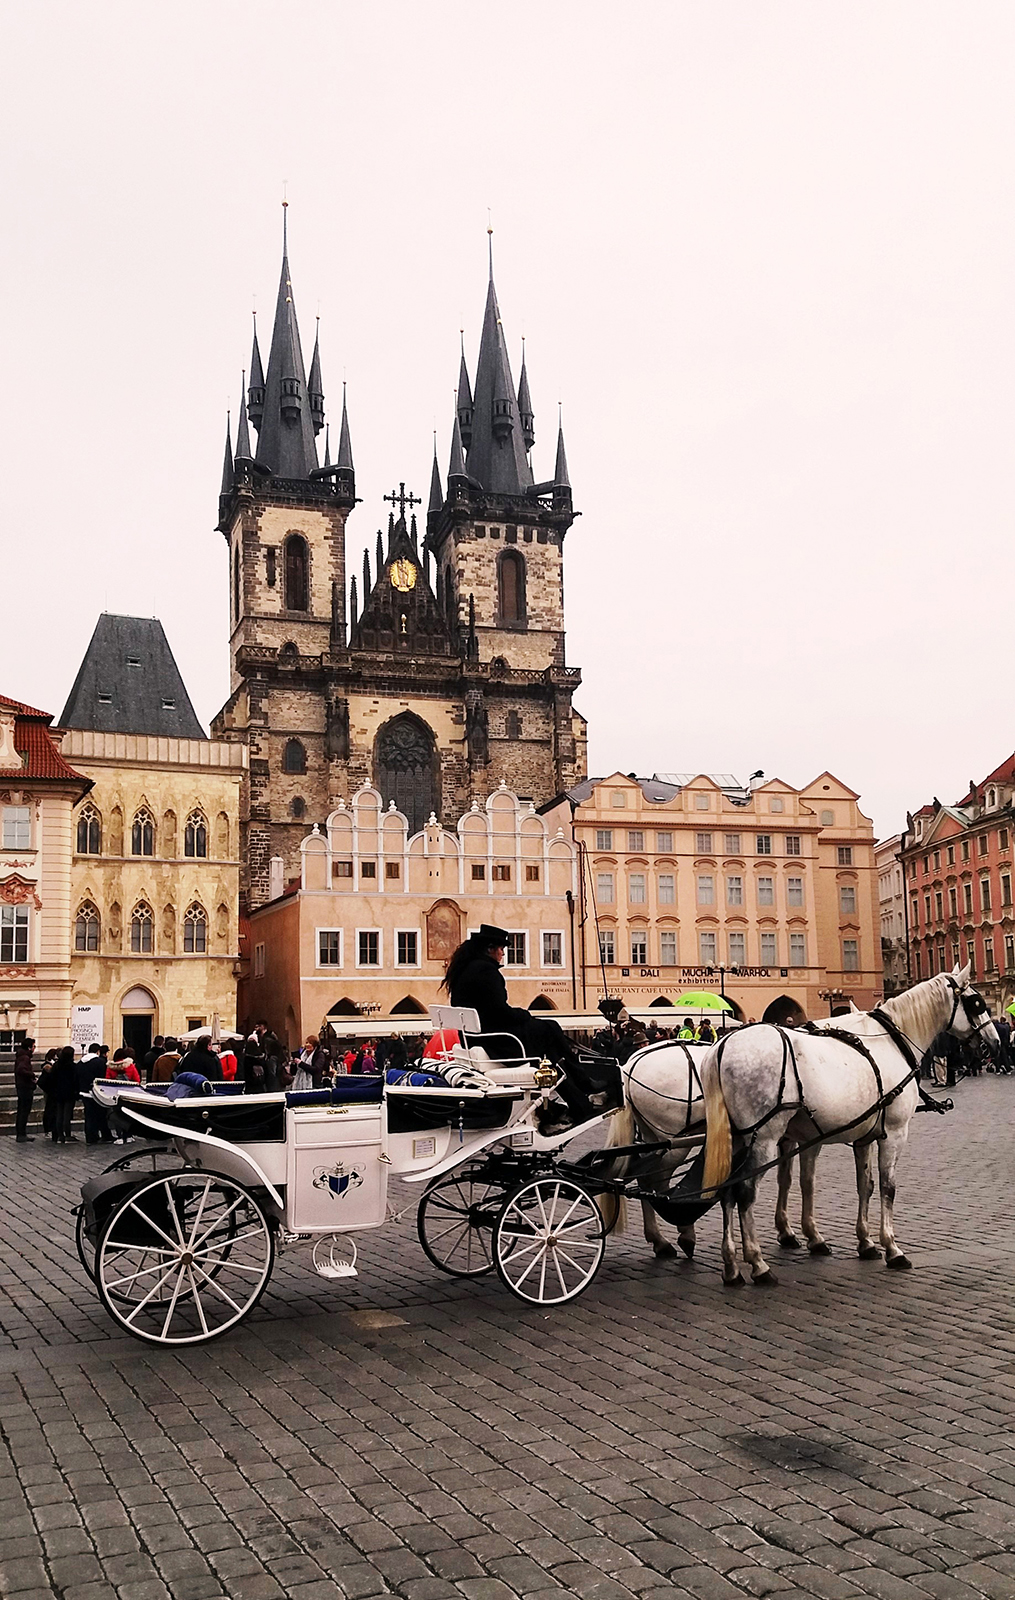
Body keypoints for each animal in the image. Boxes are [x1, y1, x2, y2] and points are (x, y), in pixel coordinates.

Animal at [699, 967, 998, 1287]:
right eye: (976, 1002)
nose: (993, 1042)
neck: (890, 1043)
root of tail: (721, 1046)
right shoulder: (894, 1133)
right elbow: (888, 1187)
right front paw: (892, 1247)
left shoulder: (863, 1136)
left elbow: (863, 1185)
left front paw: (865, 1242)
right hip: (763, 1138)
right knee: (745, 1193)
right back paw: (757, 1263)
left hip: (737, 1139)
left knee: (727, 1192)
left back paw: (731, 1265)